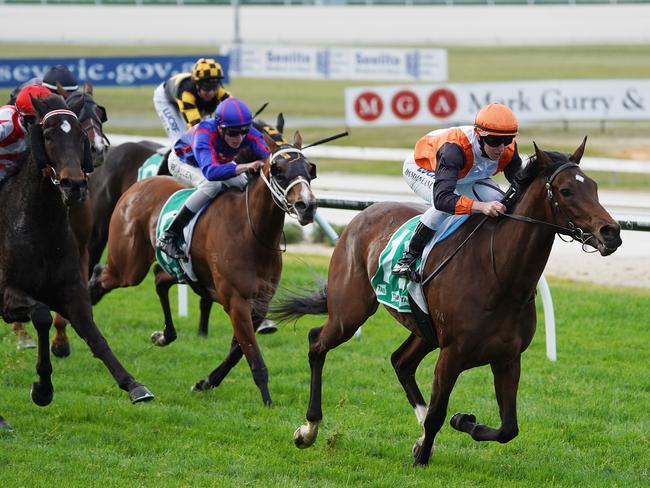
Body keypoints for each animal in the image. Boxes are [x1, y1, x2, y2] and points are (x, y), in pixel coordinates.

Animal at [0, 94, 153, 430]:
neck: (38, 226)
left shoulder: (72, 288)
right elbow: (41, 314)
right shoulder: (5, 294)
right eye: (47, 135)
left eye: (80, 136)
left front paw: (134, 385)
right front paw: (42, 389)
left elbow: (94, 334)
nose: (73, 185)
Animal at [88, 130, 316, 404]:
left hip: (176, 269)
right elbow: (253, 356)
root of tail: (138, 186)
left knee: (159, 278)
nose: (307, 206)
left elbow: (238, 351)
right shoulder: (236, 301)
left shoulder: (260, 302)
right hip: (128, 266)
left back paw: (164, 335)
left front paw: (206, 382)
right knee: (101, 276)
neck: (251, 232)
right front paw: (268, 402)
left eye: (310, 169)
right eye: (278, 170)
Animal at [270, 140, 620, 466]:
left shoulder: (507, 357)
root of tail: (364, 215)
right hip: (350, 312)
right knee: (317, 343)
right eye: (566, 190)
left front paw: (461, 422)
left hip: (424, 330)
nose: (612, 233)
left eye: (594, 186)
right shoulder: (452, 354)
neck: (500, 275)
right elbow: (439, 413)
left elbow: (509, 428)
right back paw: (309, 429)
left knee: (401, 361)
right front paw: (423, 457)